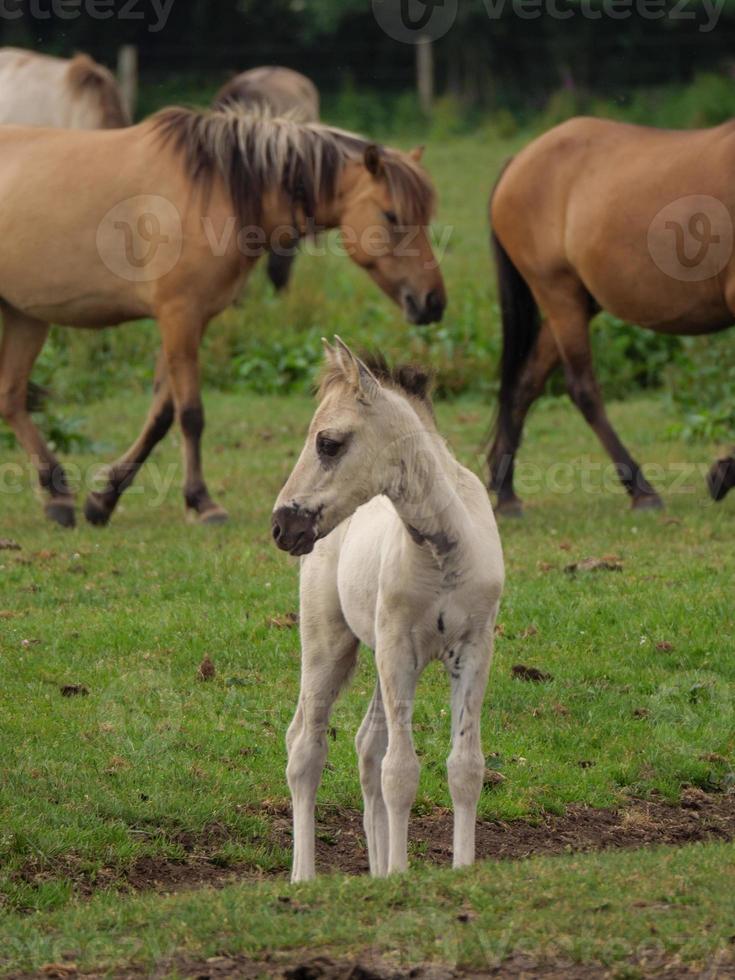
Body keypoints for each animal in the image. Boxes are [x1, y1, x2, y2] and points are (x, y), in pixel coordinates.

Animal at [272, 338, 506, 880]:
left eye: (329, 443)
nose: (281, 526)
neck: (445, 551)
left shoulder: (474, 649)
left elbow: (465, 766)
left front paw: (459, 869)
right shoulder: (400, 650)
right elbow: (400, 771)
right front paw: (400, 874)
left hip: (377, 653)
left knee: (365, 745)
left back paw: (374, 869)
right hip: (329, 644)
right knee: (305, 745)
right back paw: (304, 876)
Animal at [492, 115, 735, 512]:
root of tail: (518, 162)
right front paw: (724, 473)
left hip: (575, 304)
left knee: (525, 383)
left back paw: (506, 493)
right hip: (559, 296)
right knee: (583, 390)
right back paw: (642, 490)